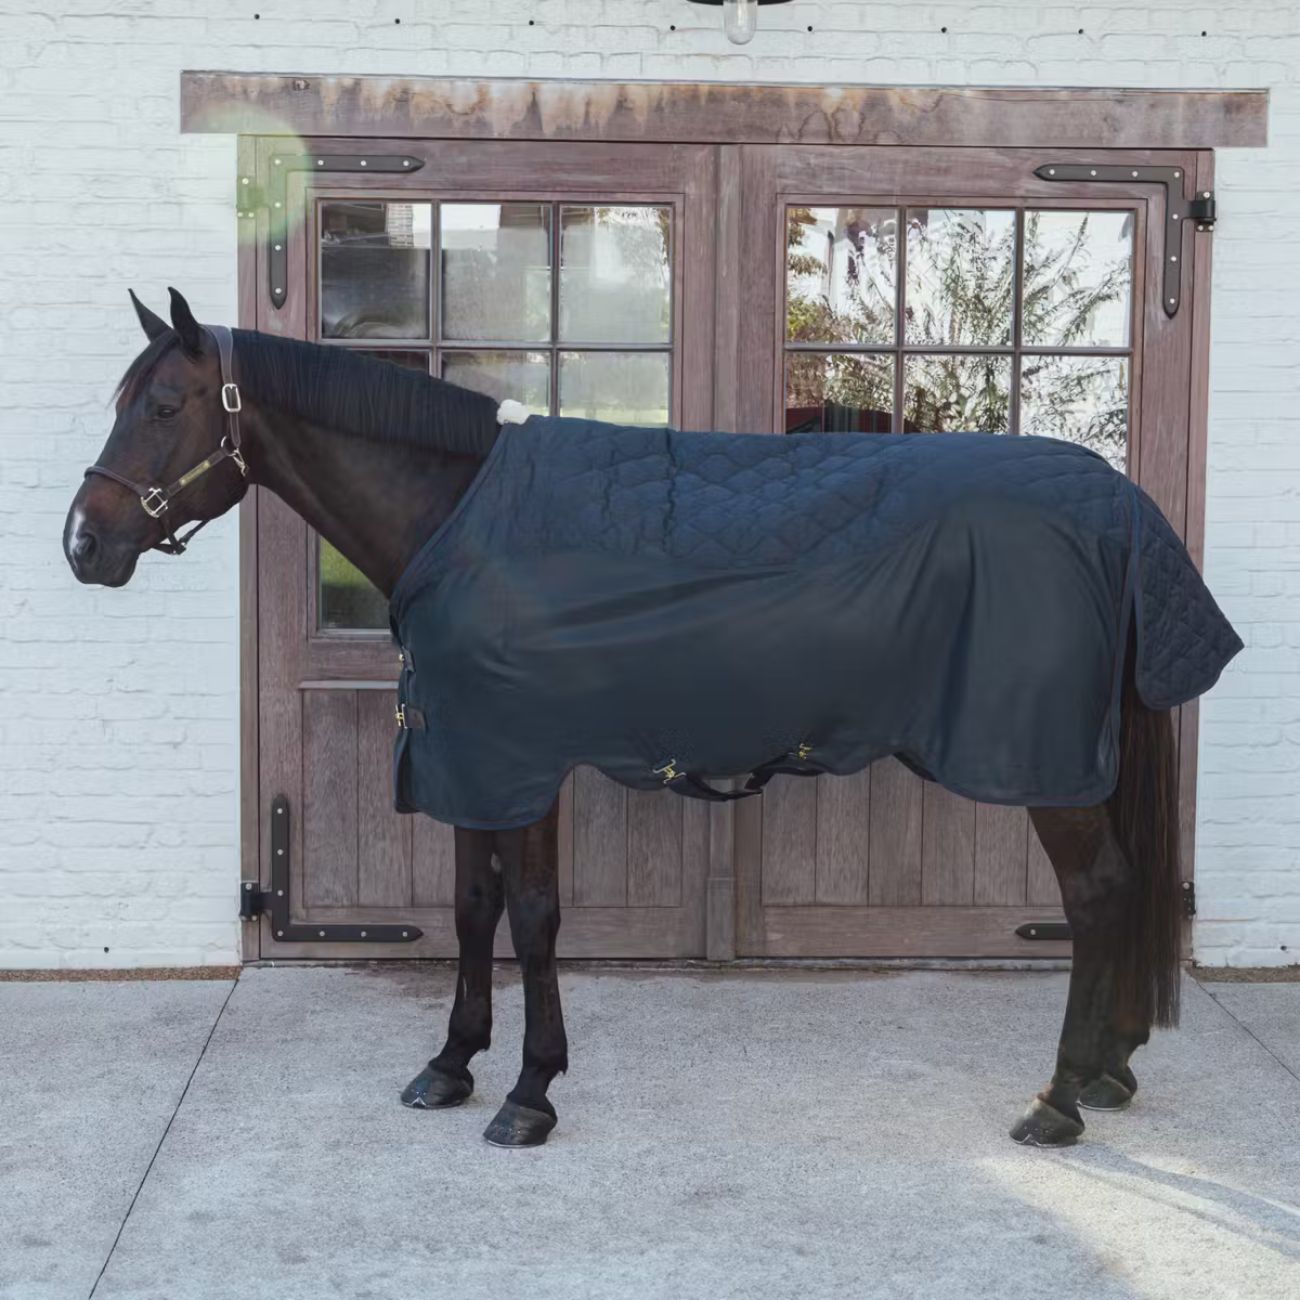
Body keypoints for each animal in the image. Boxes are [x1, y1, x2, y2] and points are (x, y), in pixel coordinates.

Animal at [64, 287, 1235, 1149]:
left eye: (162, 407)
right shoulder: (464, 755)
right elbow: (472, 908)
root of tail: (1118, 509)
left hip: (1045, 766)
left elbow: (534, 916)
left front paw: (528, 1093)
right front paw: (450, 1065)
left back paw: (1058, 1099)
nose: (84, 542)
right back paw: (1110, 1068)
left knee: (1098, 893)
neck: (465, 517)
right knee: (1123, 889)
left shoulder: (518, 758)